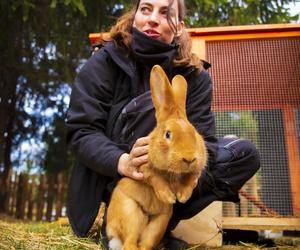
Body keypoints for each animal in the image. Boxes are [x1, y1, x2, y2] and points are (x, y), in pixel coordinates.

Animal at [106, 65, 207, 250]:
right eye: (168, 134)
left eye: (194, 132)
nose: (189, 158)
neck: (172, 171)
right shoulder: (144, 168)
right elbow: (156, 179)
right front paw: (169, 196)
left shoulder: (194, 172)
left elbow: (189, 181)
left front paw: (182, 197)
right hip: (129, 213)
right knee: (130, 242)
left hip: (160, 222)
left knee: (145, 243)